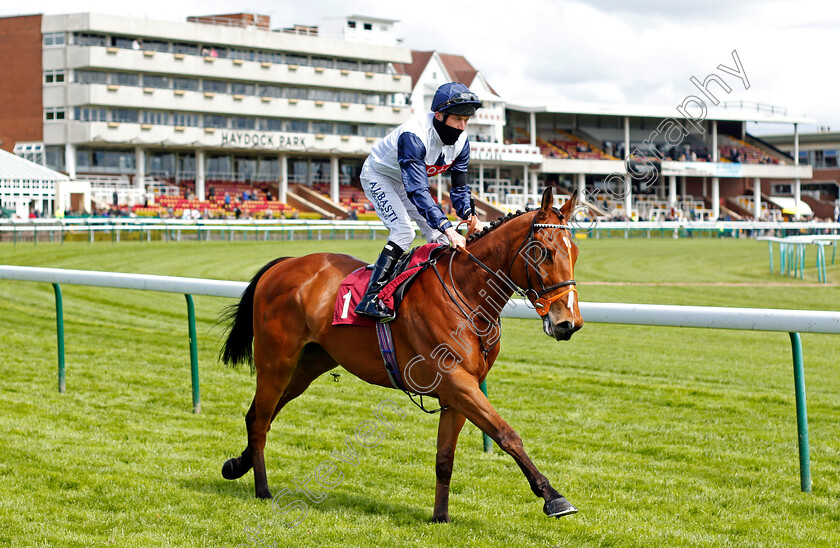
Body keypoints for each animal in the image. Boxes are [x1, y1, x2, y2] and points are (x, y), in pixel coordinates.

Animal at [220, 187, 592, 524]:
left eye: (574, 251)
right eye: (544, 252)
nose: (568, 323)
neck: (468, 295)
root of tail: (284, 264)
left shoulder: (459, 391)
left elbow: (445, 458)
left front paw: (440, 516)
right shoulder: (458, 382)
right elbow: (507, 434)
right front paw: (554, 497)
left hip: (308, 365)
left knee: (261, 415)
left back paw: (237, 465)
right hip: (276, 360)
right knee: (261, 419)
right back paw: (263, 489)